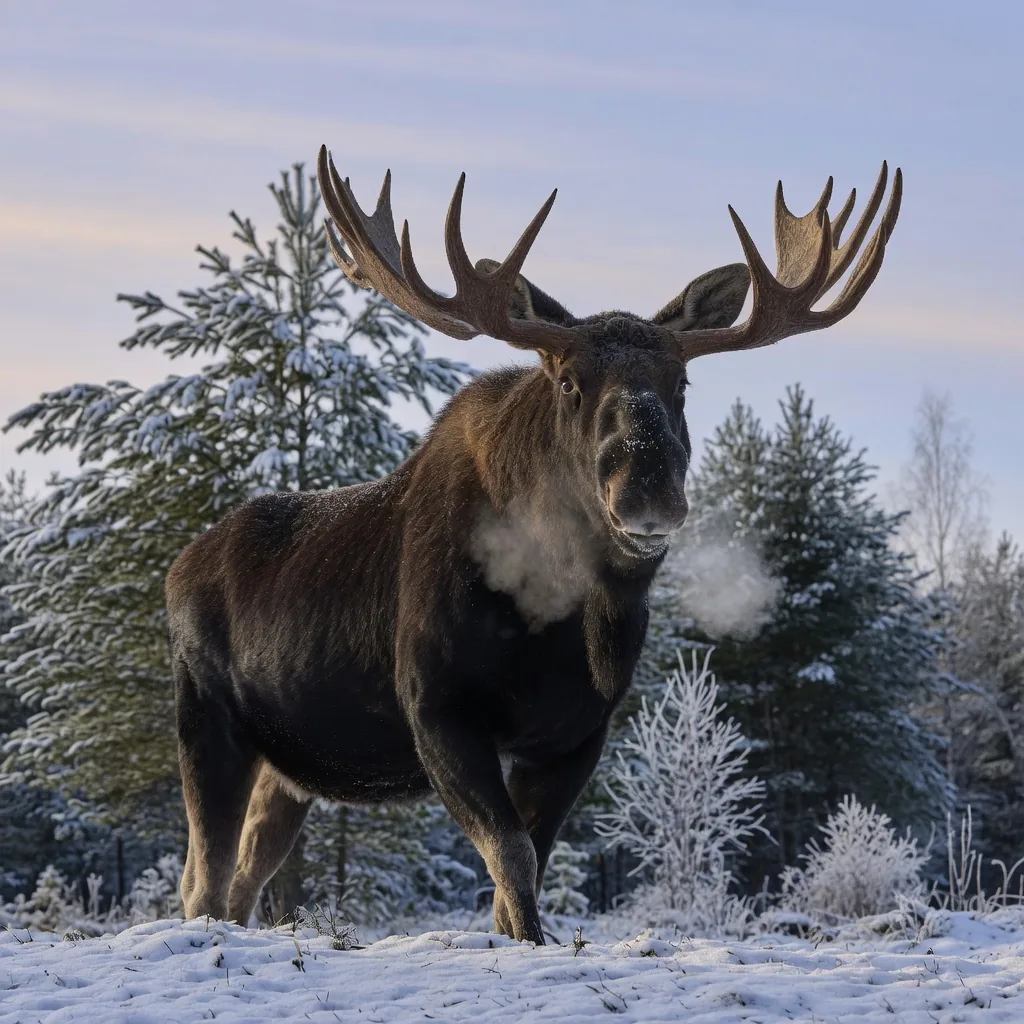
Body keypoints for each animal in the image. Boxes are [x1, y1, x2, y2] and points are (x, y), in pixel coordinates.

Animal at [165, 145, 901, 944]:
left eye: (681, 381)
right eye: (571, 381)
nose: (647, 490)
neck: (562, 618)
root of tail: (177, 569)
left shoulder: (579, 731)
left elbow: (525, 866)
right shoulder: (436, 707)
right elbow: (512, 856)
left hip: (287, 770)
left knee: (241, 878)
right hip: (206, 719)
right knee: (202, 878)